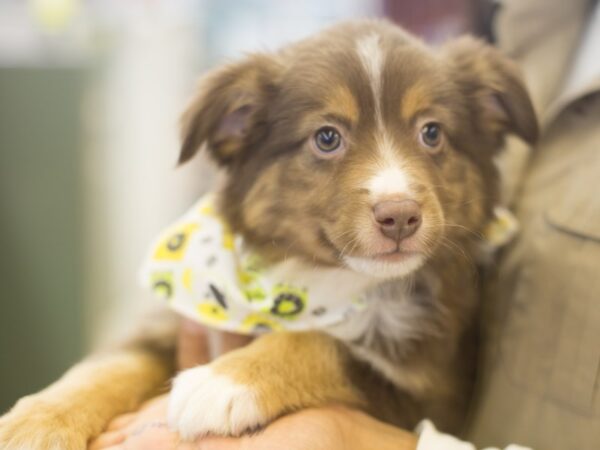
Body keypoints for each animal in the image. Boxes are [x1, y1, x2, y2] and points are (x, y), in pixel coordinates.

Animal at [0, 19, 536, 448]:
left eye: (432, 132)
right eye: (326, 137)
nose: (400, 216)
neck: (316, 280)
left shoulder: (431, 392)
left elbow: (324, 344)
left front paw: (224, 383)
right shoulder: (168, 321)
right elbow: (106, 365)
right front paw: (34, 422)